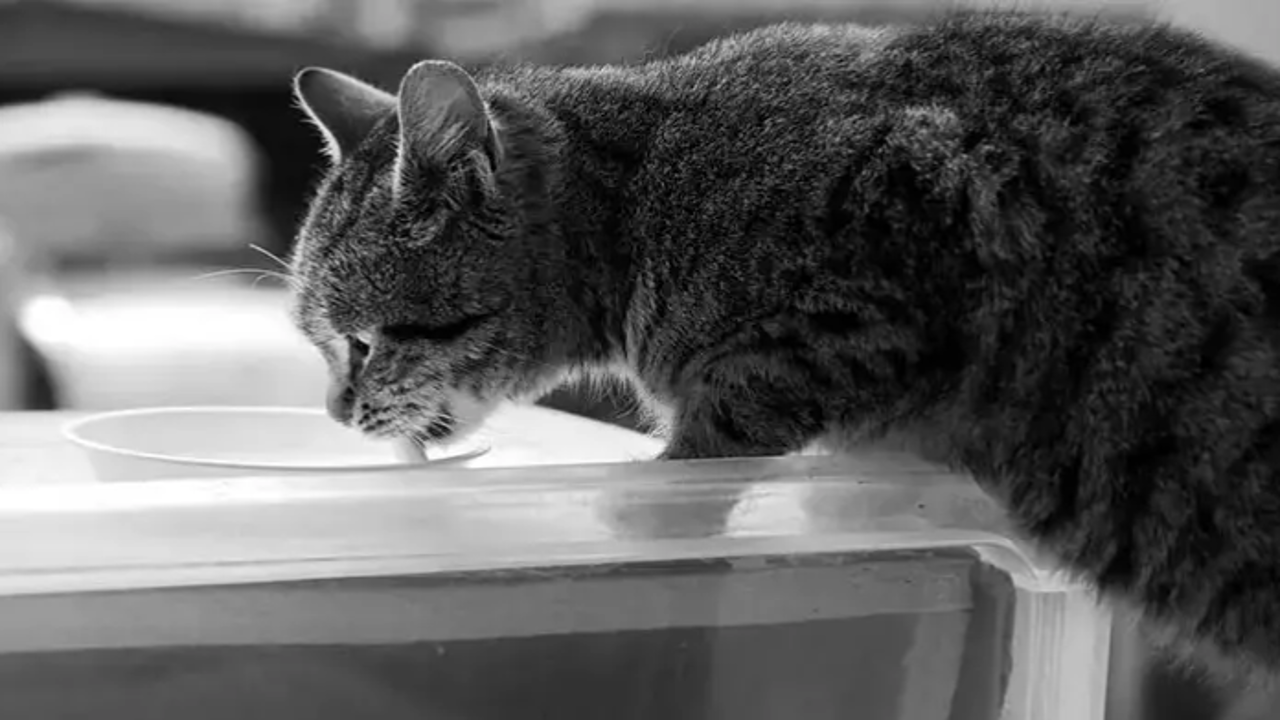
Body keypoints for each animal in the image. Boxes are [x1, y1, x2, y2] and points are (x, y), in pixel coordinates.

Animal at [290, 11, 1280, 676]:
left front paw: (640, 513)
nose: (334, 413)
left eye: (362, 343)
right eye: (323, 345)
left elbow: (718, 432)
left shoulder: (870, 287)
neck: (647, 196)